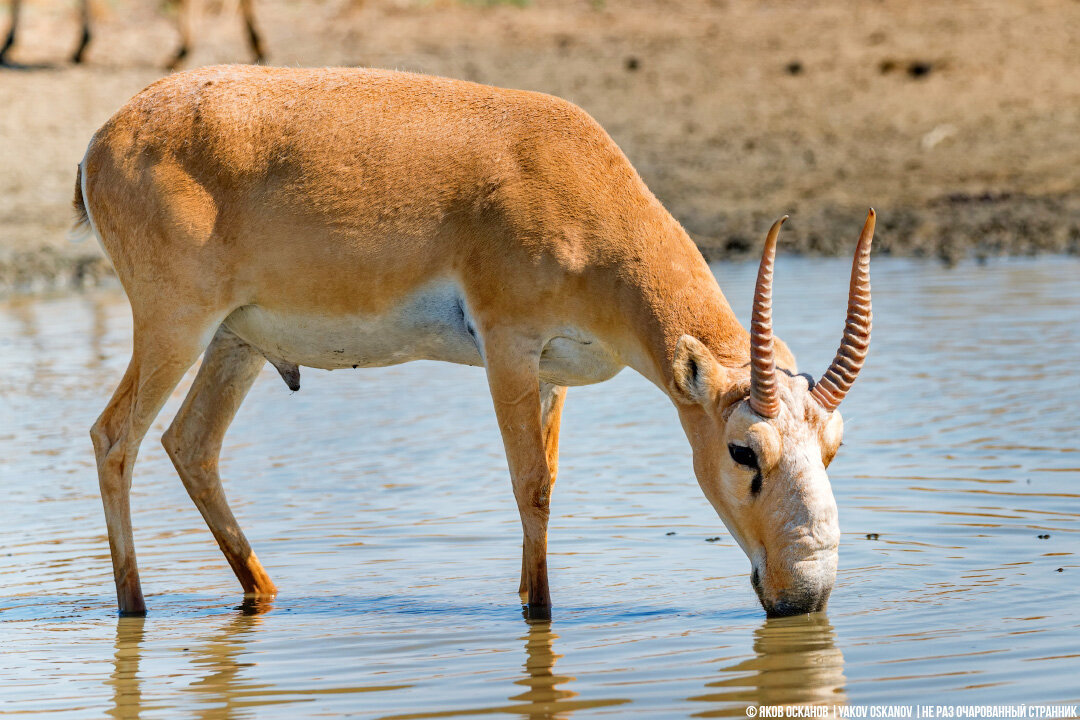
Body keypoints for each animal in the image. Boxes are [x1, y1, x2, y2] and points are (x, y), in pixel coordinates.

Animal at [73, 66, 868, 621]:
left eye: (833, 446)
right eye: (743, 451)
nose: (805, 596)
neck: (567, 171)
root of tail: (105, 138)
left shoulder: (553, 375)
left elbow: (549, 480)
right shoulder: (508, 351)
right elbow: (531, 486)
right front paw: (539, 615)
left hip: (235, 341)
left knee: (190, 443)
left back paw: (262, 593)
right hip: (176, 327)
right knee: (114, 437)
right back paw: (133, 609)